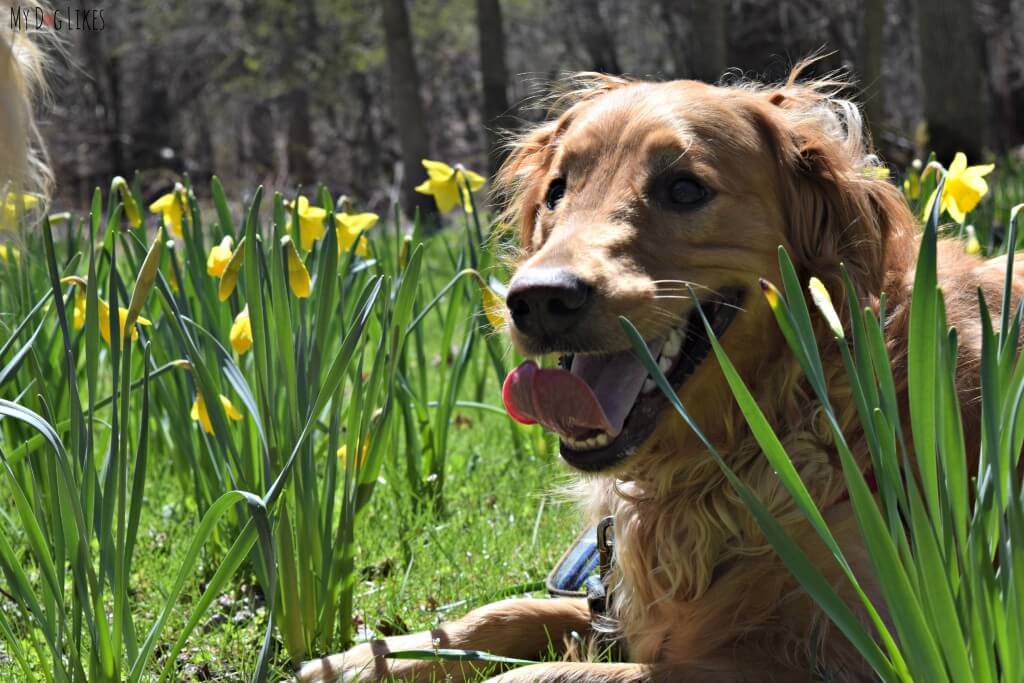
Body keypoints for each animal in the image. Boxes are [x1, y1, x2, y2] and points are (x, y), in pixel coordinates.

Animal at [299, 61, 1019, 679]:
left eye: (684, 188)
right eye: (557, 190)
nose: (536, 299)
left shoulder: (851, 651)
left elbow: (545, 672)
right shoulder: (615, 595)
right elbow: (509, 610)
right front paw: (364, 655)